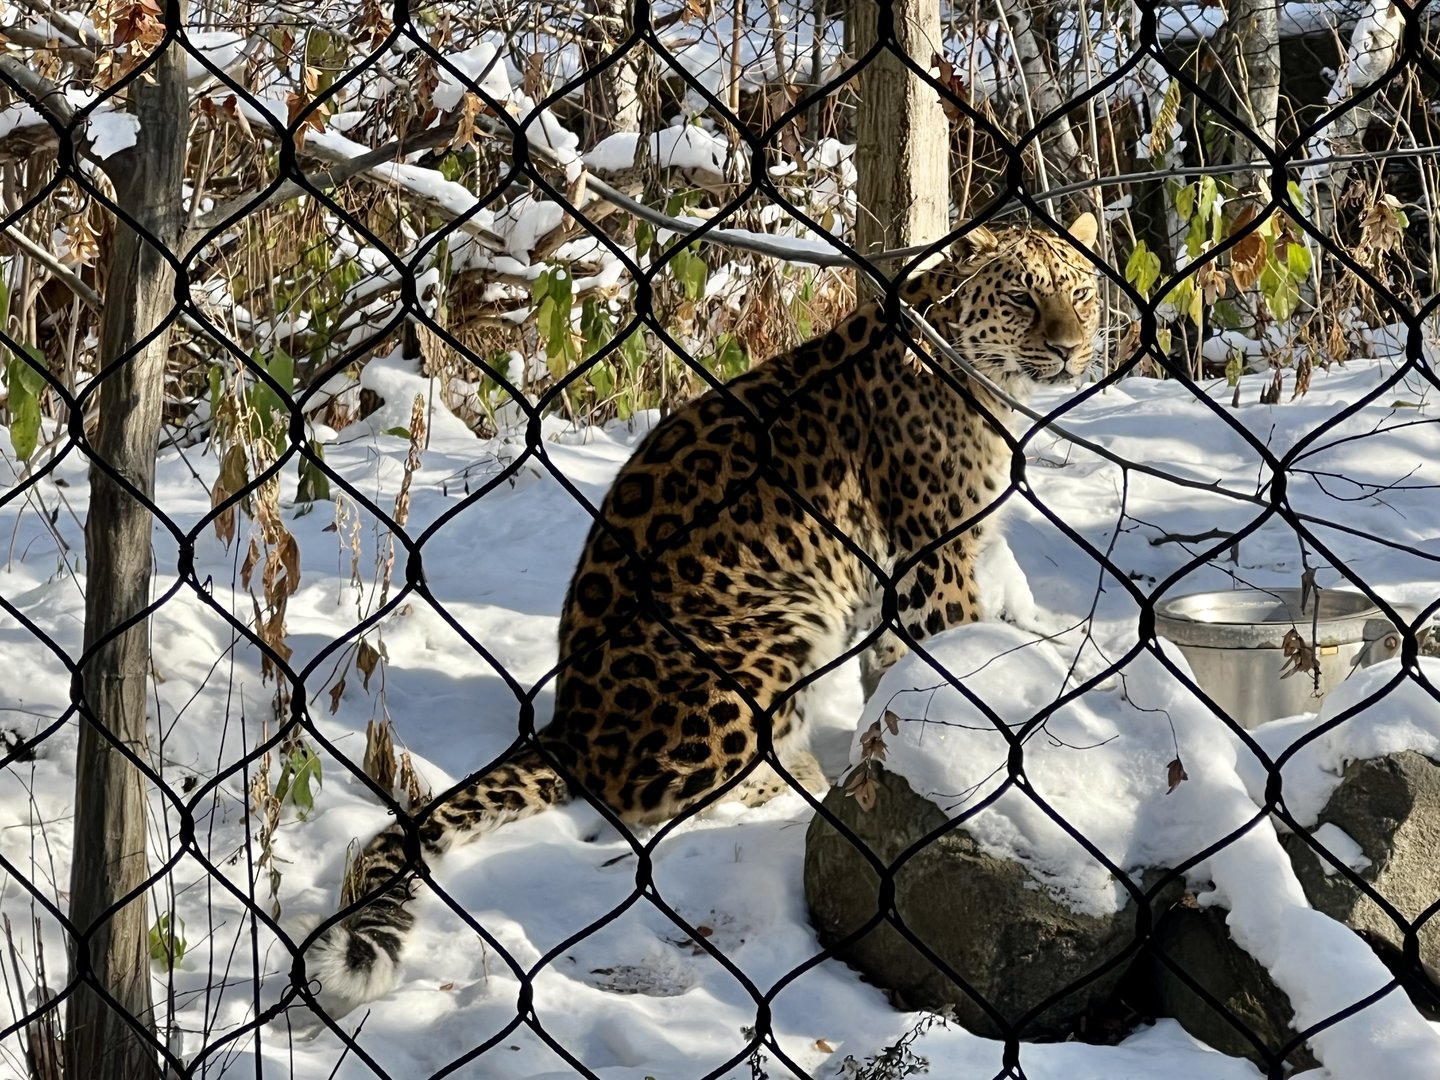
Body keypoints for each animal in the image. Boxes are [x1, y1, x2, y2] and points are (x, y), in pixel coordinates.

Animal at [303, 212, 1101, 1015]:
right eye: (1022, 298)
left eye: (1081, 295)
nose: (1071, 348)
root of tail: (571, 728)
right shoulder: (935, 562)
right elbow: (946, 650)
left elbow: (890, 673)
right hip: (774, 628)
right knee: (674, 793)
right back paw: (803, 782)